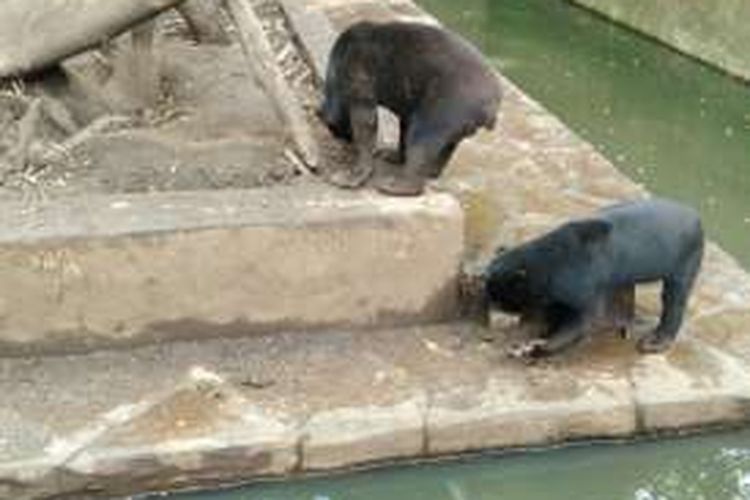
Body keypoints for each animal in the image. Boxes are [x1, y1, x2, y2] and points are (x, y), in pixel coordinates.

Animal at [320, 22, 502, 197]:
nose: (344, 141)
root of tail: (492, 106)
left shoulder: (358, 74)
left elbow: (365, 123)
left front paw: (349, 176)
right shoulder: (408, 102)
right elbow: (404, 124)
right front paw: (392, 155)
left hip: (447, 105)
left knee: (422, 139)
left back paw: (395, 186)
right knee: (446, 145)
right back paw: (430, 170)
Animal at [488, 197, 704, 358]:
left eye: (499, 296)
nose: (492, 304)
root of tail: (697, 218)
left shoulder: (585, 281)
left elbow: (583, 319)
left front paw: (539, 347)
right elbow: (542, 313)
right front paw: (520, 340)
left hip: (685, 257)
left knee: (674, 297)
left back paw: (653, 342)